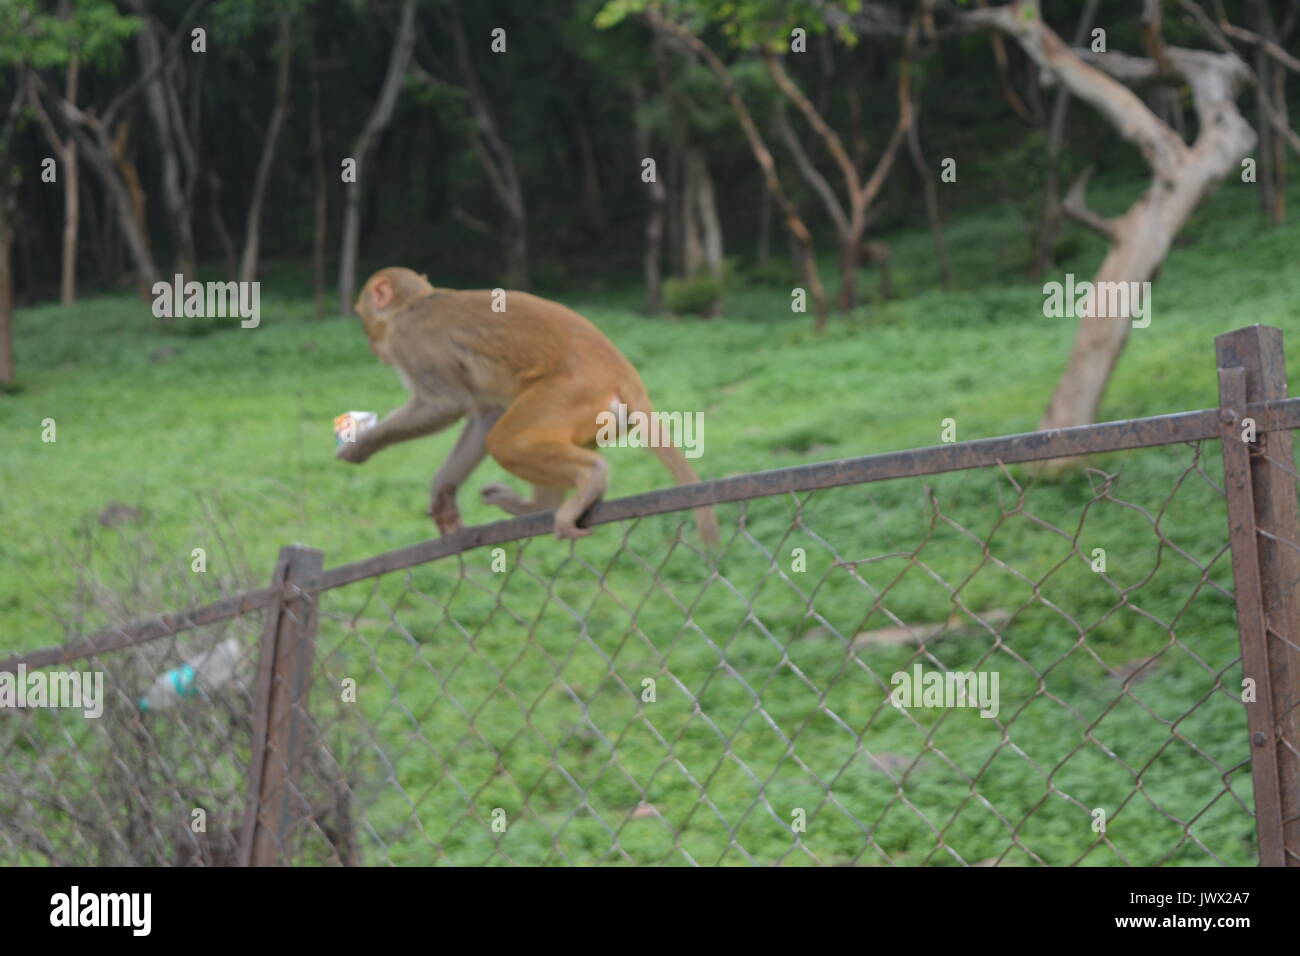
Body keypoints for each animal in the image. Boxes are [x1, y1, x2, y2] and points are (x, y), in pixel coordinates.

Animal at [335, 267, 722, 546]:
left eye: (361, 314)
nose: (372, 346)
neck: (412, 305)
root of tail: (623, 373)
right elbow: (484, 415)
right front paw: (442, 493)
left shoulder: (411, 342)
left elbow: (445, 405)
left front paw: (360, 446)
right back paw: (540, 506)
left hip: (571, 394)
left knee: (506, 441)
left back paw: (588, 479)